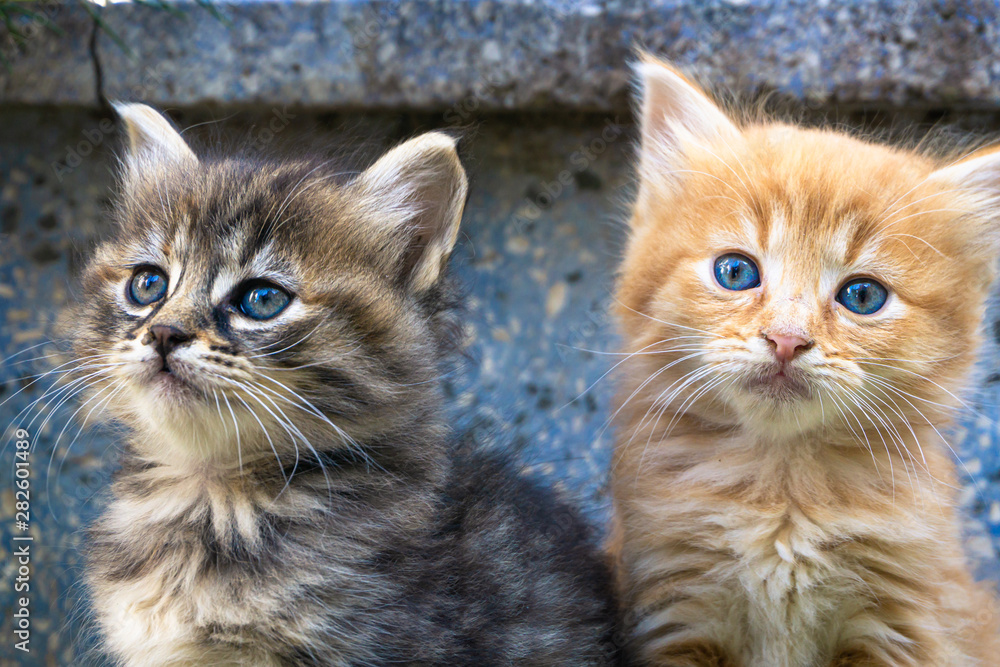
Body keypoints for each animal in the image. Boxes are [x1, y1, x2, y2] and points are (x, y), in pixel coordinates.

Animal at [604, 58, 1000, 667]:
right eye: (736, 272)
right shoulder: (670, 607)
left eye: (863, 296)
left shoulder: (904, 626)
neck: (783, 496)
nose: (787, 339)